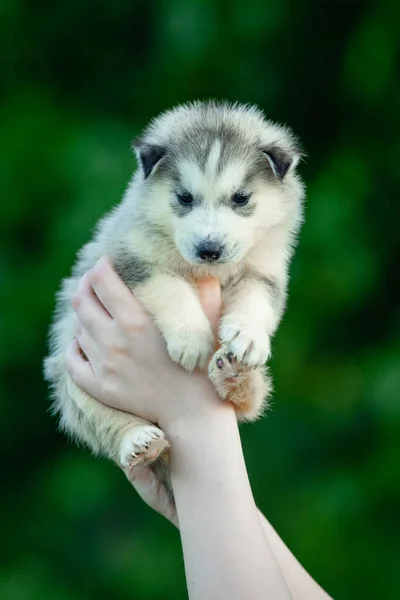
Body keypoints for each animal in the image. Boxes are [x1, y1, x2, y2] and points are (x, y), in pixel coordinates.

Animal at [43, 103, 304, 476]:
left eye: (241, 198)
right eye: (184, 197)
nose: (209, 249)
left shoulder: (265, 270)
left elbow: (256, 300)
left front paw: (248, 335)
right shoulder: (131, 257)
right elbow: (171, 287)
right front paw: (192, 338)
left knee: (250, 403)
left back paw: (237, 377)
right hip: (72, 375)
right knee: (103, 423)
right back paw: (138, 441)